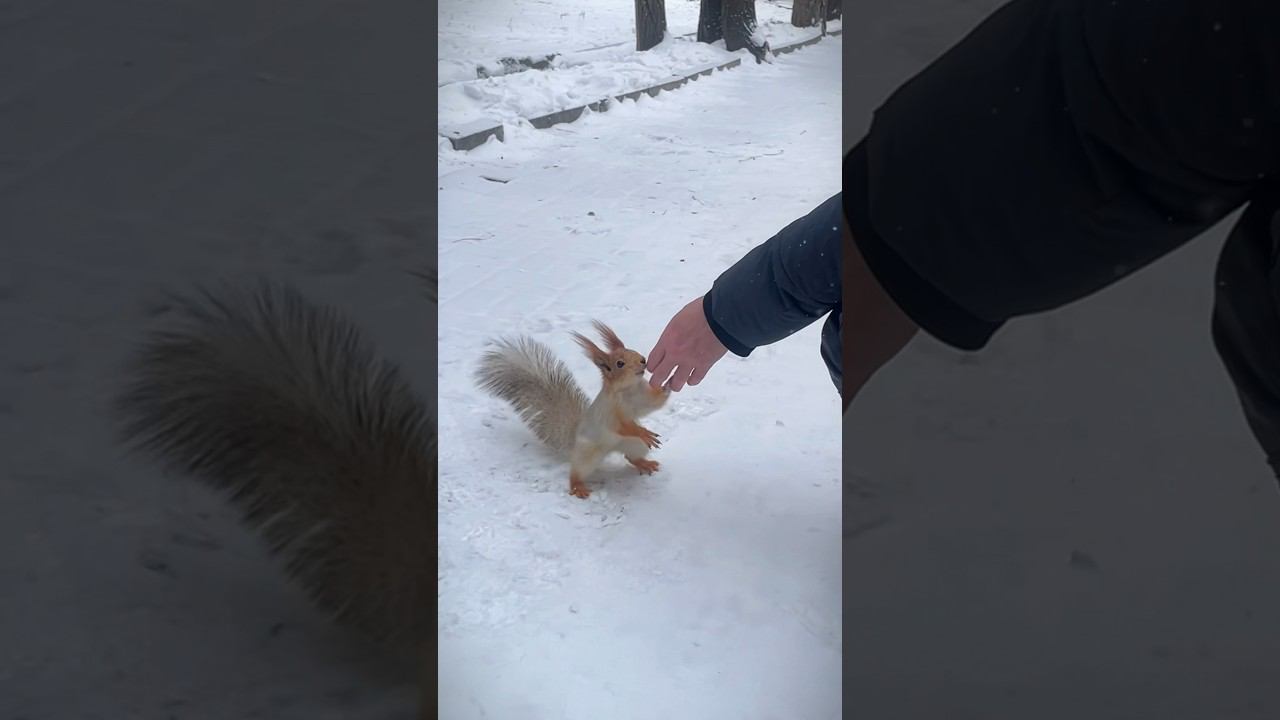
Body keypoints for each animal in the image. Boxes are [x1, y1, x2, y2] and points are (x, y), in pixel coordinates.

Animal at [475, 320, 671, 499]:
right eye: (620, 363)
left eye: (633, 351)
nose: (643, 360)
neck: (629, 389)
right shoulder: (610, 412)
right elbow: (622, 426)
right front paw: (643, 432)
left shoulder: (642, 395)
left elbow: (654, 403)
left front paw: (667, 386)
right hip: (588, 454)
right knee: (577, 471)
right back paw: (578, 487)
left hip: (632, 443)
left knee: (631, 456)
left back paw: (645, 463)